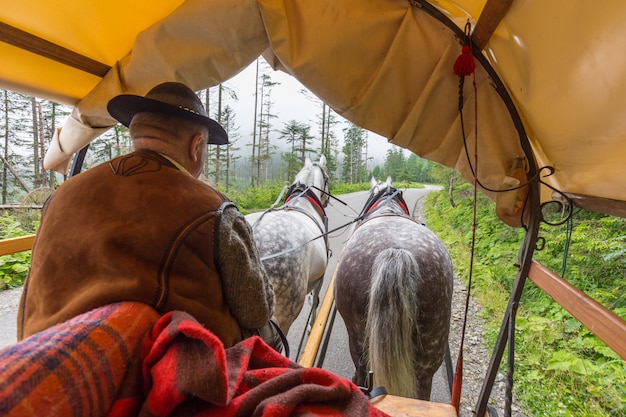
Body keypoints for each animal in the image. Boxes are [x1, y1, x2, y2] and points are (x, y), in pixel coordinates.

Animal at [246, 155, 330, 334]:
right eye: (327, 178)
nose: (326, 201)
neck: (303, 203)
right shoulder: (320, 277)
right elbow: (314, 301)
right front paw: (311, 326)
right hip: (285, 312)